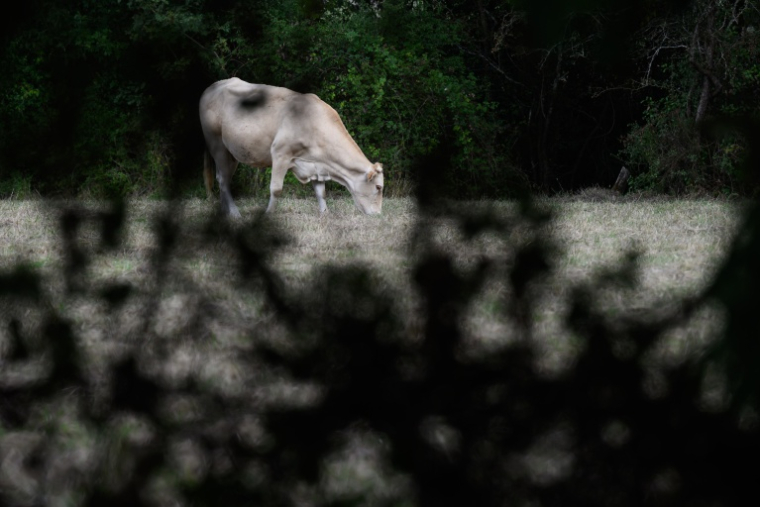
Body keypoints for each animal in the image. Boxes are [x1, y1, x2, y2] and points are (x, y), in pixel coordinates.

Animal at [199, 78, 384, 217]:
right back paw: (234, 213)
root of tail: (212, 87)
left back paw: (224, 212)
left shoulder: (316, 163)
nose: (378, 214)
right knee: (223, 179)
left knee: (222, 178)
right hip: (217, 144)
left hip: (231, 152)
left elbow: (321, 192)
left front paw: (325, 214)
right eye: (378, 187)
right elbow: (276, 189)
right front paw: (268, 215)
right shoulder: (281, 153)